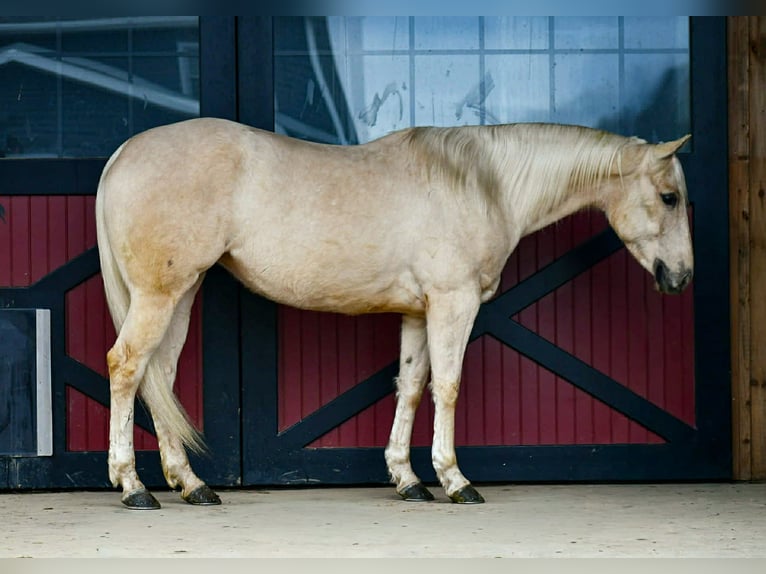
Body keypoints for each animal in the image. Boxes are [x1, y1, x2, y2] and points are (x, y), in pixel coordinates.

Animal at [95, 117, 693, 509]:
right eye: (669, 197)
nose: (681, 277)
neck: (481, 184)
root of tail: (123, 152)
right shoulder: (453, 302)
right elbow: (448, 386)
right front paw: (455, 480)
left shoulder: (418, 312)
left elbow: (410, 385)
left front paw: (409, 480)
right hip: (159, 294)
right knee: (127, 367)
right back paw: (133, 486)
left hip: (181, 292)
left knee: (160, 376)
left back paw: (191, 484)